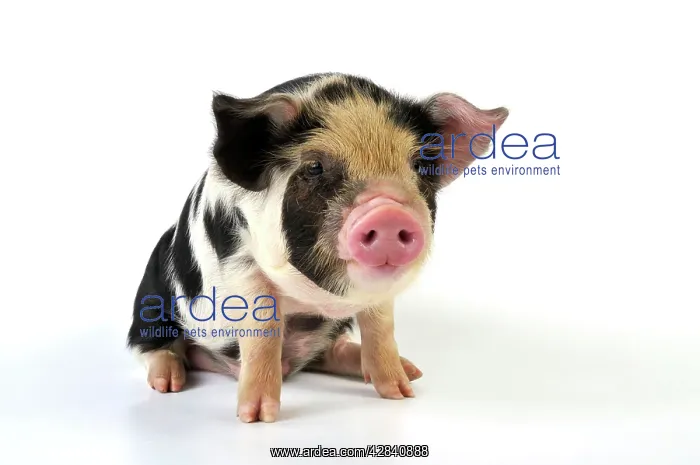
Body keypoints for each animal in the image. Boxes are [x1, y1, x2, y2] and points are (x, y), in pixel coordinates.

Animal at [127, 73, 508, 423]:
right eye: (314, 167)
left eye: (418, 165)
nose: (388, 212)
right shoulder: (240, 261)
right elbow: (263, 330)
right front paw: (256, 418)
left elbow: (381, 328)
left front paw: (401, 393)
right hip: (150, 300)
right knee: (154, 345)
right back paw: (168, 383)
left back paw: (410, 369)